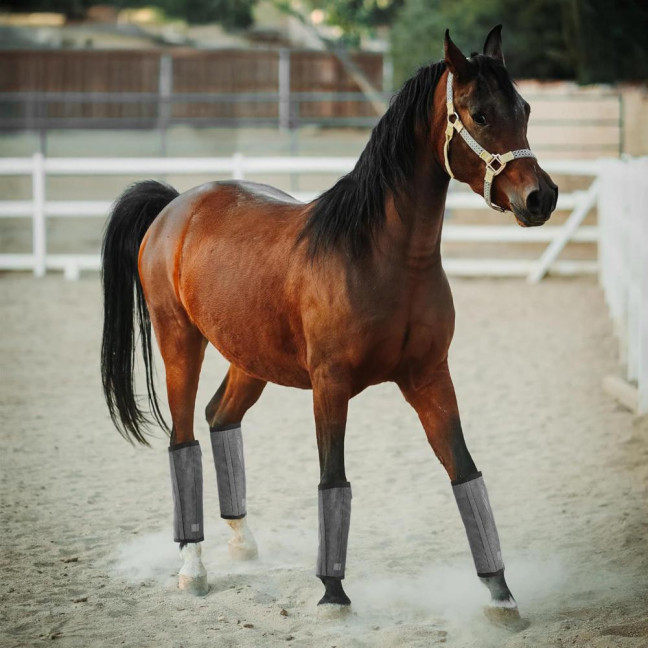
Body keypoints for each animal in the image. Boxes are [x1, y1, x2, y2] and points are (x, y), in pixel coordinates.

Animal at [101, 26, 557, 628]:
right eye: (479, 114)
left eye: (523, 108)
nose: (541, 197)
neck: (381, 258)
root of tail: (176, 206)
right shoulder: (331, 386)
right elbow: (333, 479)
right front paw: (333, 594)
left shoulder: (431, 377)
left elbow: (464, 472)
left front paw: (501, 595)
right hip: (181, 343)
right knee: (183, 440)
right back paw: (192, 570)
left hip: (249, 360)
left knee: (221, 419)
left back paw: (243, 544)